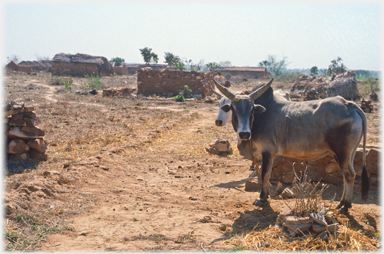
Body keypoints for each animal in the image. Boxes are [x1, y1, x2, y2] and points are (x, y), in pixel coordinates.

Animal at [214, 78, 368, 213]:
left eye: (252, 110)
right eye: (233, 109)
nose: (244, 134)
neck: (258, 119)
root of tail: (350, 104)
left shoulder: (267, 151)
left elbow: (265, 175)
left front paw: (262, 198)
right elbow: (265, 174)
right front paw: (267, 195)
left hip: (342, 153)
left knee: (349, 175)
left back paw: (345, 206)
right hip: (349, 154)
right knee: (347, 174)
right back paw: (342, 203)